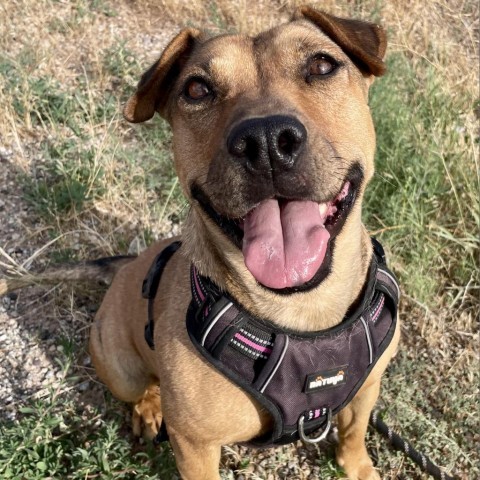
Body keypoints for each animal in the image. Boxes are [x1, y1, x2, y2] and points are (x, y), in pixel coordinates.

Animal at [0, 4, 402, 480]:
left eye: (322, 65)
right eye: (197, 89)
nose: (266, 140)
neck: (303, 312)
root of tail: (128, 264)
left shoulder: (368, 386)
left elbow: (355, 431)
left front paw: (358, 466)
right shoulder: (195, 446)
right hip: (120, 366)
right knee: (141, 387)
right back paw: (149, 409)